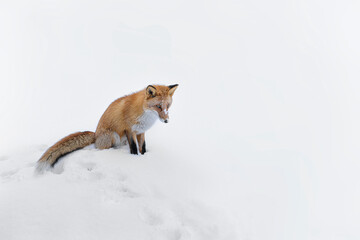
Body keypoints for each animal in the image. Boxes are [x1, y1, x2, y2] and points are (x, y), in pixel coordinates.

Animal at [35, 84, 179, 172]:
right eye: (158, 106)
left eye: (167, 106)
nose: (166, 120)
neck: (145, 115)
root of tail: (95, 135)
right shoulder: (129, 130)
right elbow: (134, 148)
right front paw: (134, 160)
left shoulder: (141, 131)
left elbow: (142, 148)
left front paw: (144, 159)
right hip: (113, 136)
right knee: (101, 149)